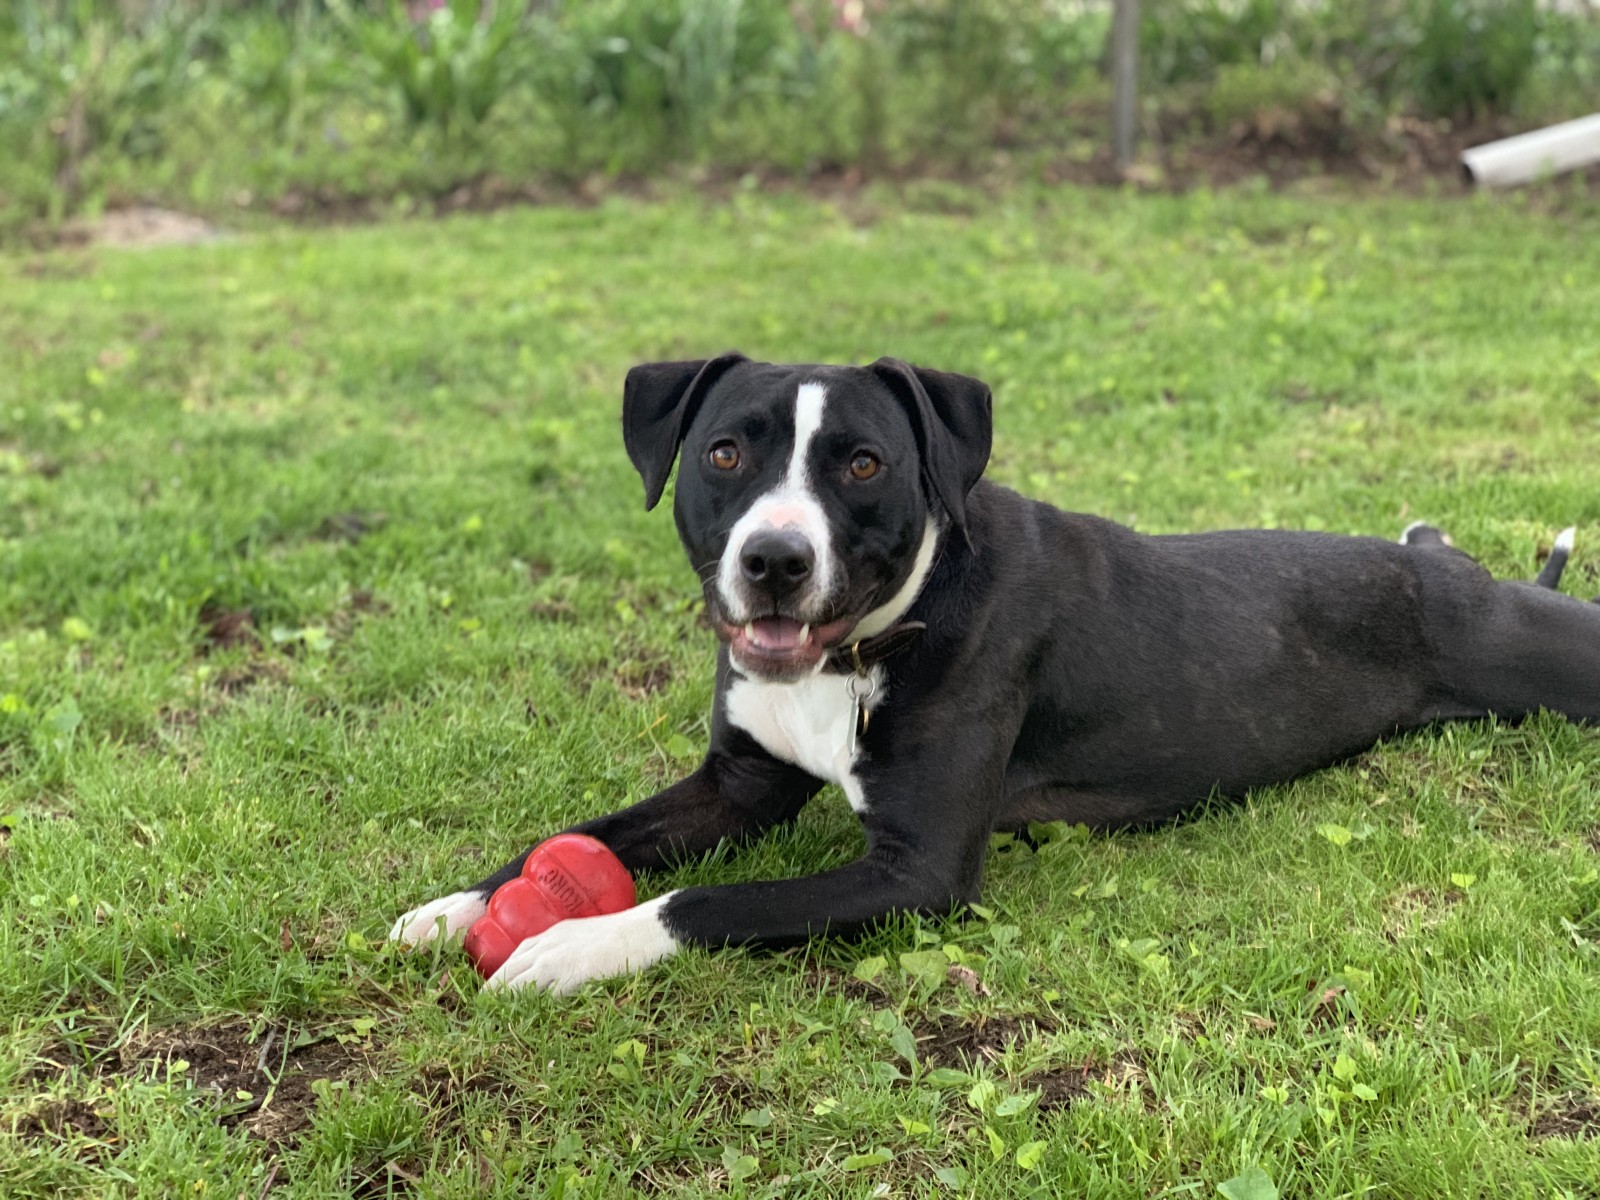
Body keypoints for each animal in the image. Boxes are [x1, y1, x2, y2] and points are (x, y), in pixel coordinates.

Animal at [390, 354, 1598, 993]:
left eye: (863, 464)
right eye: (724, 453)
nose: (773, 561)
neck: (872, 643)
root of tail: (1451, 570)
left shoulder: (915, 871)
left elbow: (703, 900)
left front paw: (567, 944)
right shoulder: (736, 784)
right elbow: (589, 834)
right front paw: (461, 905)